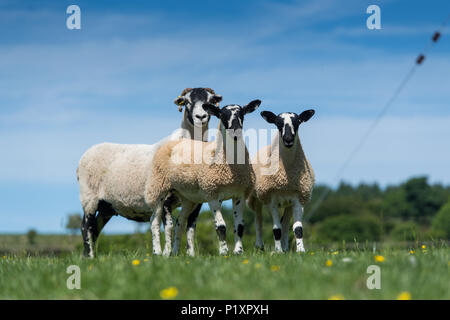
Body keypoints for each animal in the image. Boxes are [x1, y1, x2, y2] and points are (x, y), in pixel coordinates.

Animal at [78, 87, 223, 258]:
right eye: (187, 101)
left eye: (211, 101)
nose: (201, 117)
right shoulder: (165, 197)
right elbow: (169, 226)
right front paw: (167, 254)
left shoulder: (197, 200)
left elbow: (191, 228)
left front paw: (191, 255)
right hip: (89, 199)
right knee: (86, 227)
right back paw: (90, 256)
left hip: (107, 207)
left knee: (95, 230)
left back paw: (88, 257)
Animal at [148, 99, 260, 255]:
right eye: (221, 115)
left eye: (242, 114)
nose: (236, 133)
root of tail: (175, 141)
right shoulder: (212, 192)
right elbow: (221, 226)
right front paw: (224, 253)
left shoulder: (240, 194)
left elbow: (239, 226)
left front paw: (238, 252)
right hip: (158, 186)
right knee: (154, 221)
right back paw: (158, 252)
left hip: (188, 197)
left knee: (179, 222)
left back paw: (175, 253)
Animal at [246, 109, 316, 252]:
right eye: (278, 123)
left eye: (298, 122)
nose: (288, 140)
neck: (286, 178)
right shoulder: (271, 200)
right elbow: (276, 229)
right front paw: (277, 251)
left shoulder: (298, 198)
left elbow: (297, 228)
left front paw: (300, 250)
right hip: (257, 198)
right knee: (258, 221)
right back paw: (260, 247)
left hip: (287, 203)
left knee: (285, 223)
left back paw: (285, 248)